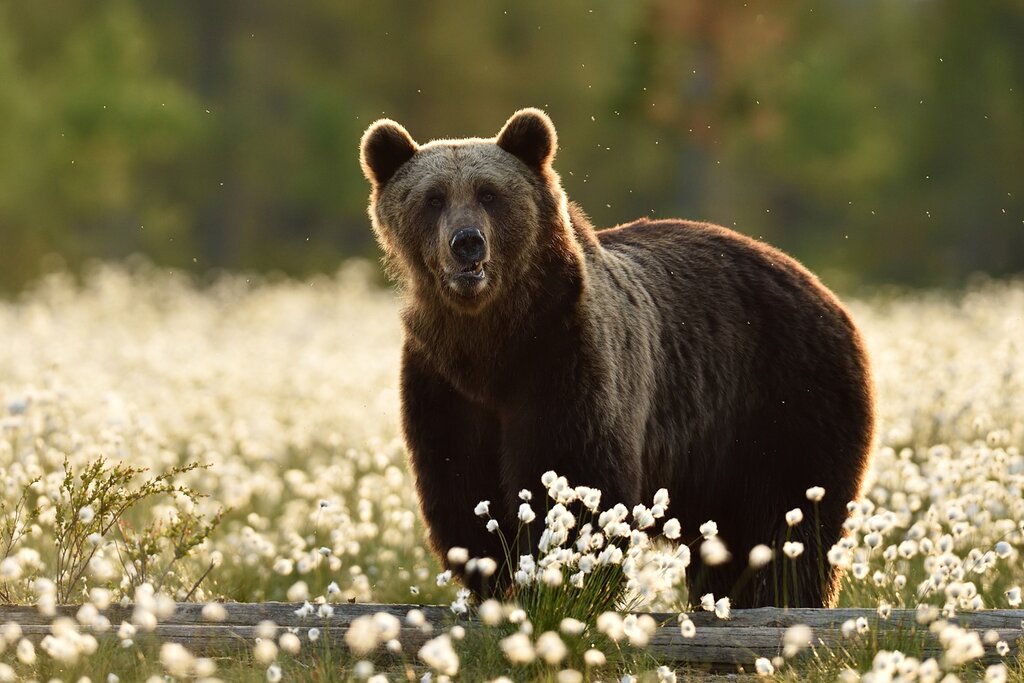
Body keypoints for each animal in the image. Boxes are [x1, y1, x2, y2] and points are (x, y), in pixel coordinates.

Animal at [359, 108, 874, 608]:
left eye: (489, 194)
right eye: (433, 198)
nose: (467, 242)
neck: (491, 342)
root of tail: (825, 291)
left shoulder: (565, 358)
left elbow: (574, 474)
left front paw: (561, 585)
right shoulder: (442, 381)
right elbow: (461, 487)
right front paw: (491, 581)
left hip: (783, 399)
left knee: (791, 517)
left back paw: (784, 598)